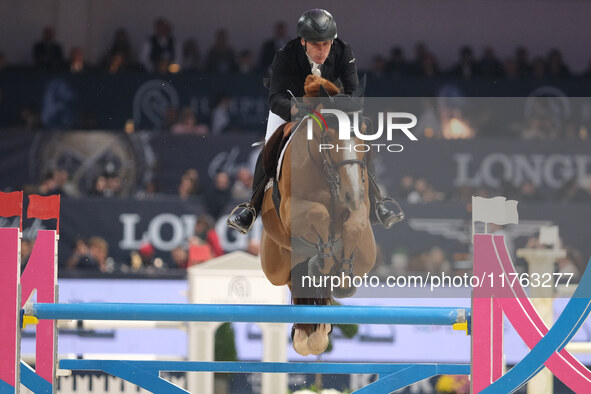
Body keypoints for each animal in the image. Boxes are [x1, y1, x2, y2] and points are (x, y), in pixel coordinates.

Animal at [262, 74, 376, 358]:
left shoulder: (360, 206)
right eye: (328, 134)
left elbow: (353, 225)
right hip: (275, 265)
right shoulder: (290, 211)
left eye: (364, 129)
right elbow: (319, 212)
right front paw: (323, 261)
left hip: (367, 256)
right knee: (292, 279)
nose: (351, 193)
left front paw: (342, 275)